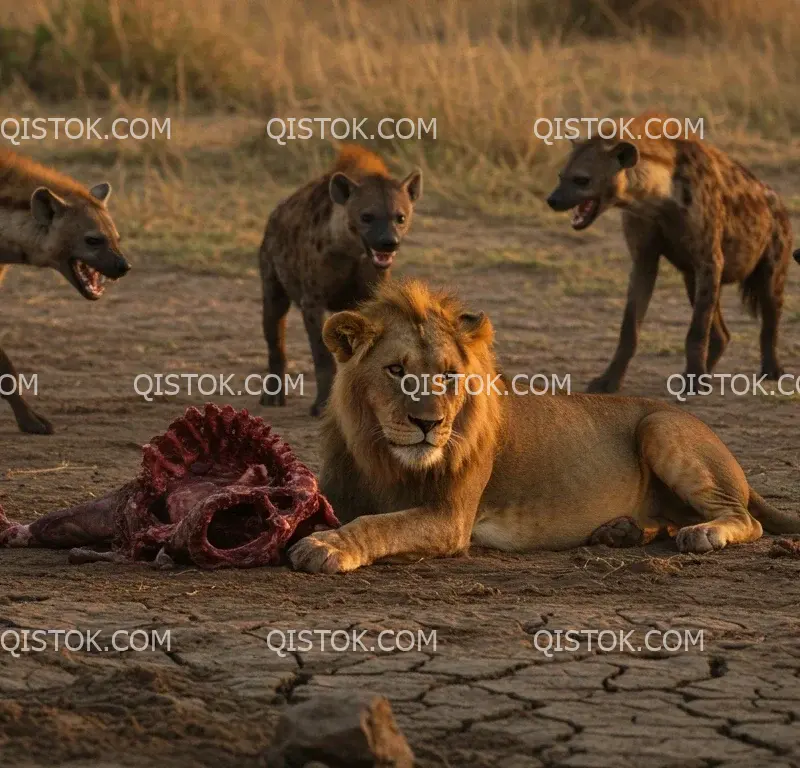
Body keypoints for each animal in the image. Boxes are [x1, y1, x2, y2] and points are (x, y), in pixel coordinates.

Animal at [288, 280, 800, 572]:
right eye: (395, 370)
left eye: (449, 375)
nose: (429, 424)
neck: (384, 455)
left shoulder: (451, 518)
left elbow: (380, 524)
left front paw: (326, 545)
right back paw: (623, 532)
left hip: (660, 426)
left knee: (746, 519)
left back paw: (702, 533)